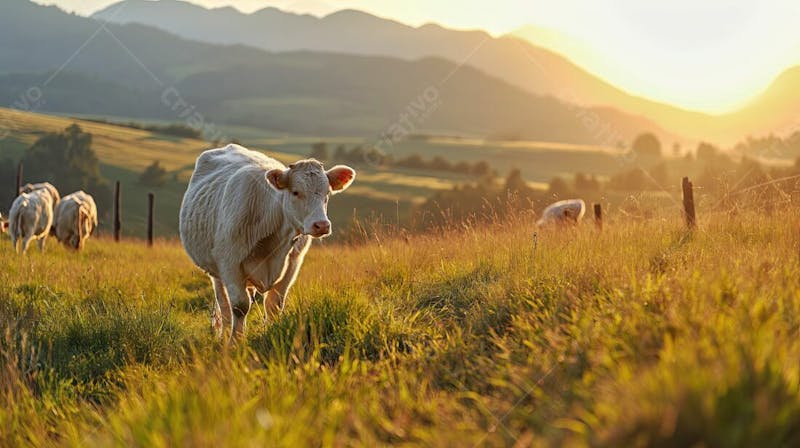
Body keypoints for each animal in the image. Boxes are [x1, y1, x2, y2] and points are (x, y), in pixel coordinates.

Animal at [183, 145, 358, 342]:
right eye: (295, 192)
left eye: (327, 193)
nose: (321, 225)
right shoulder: (229, 263)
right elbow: (239, 306)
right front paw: (235, 342)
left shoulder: (293, 262)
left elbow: (274, 304)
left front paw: (271, 334)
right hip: (215, 270)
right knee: (224, 303)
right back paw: (225, 334)